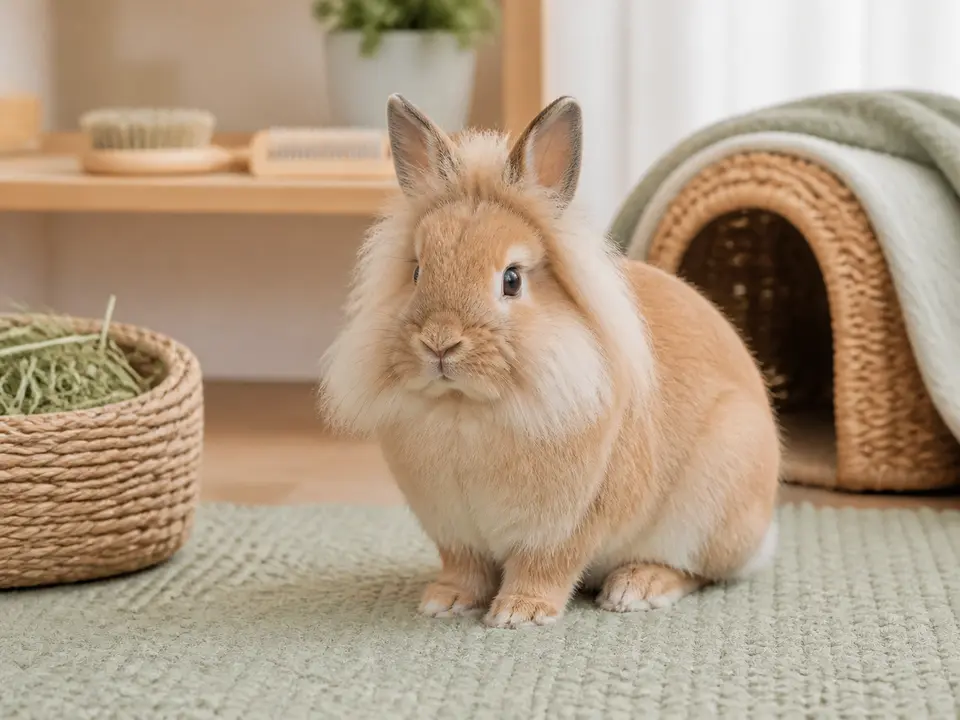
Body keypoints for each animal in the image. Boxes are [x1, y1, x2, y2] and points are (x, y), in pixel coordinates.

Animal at [318, 94, 781, 629]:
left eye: (512, 279)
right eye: (416, 272)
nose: (439, 343)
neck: (463, 408)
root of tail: (764, 534)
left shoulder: (565, 526)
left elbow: (546, 567)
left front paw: (519, 613)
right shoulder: (453, 532)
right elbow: (464, 569)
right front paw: (444, 601)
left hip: (710, 499)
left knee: (698, 571)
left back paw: (636, 588)